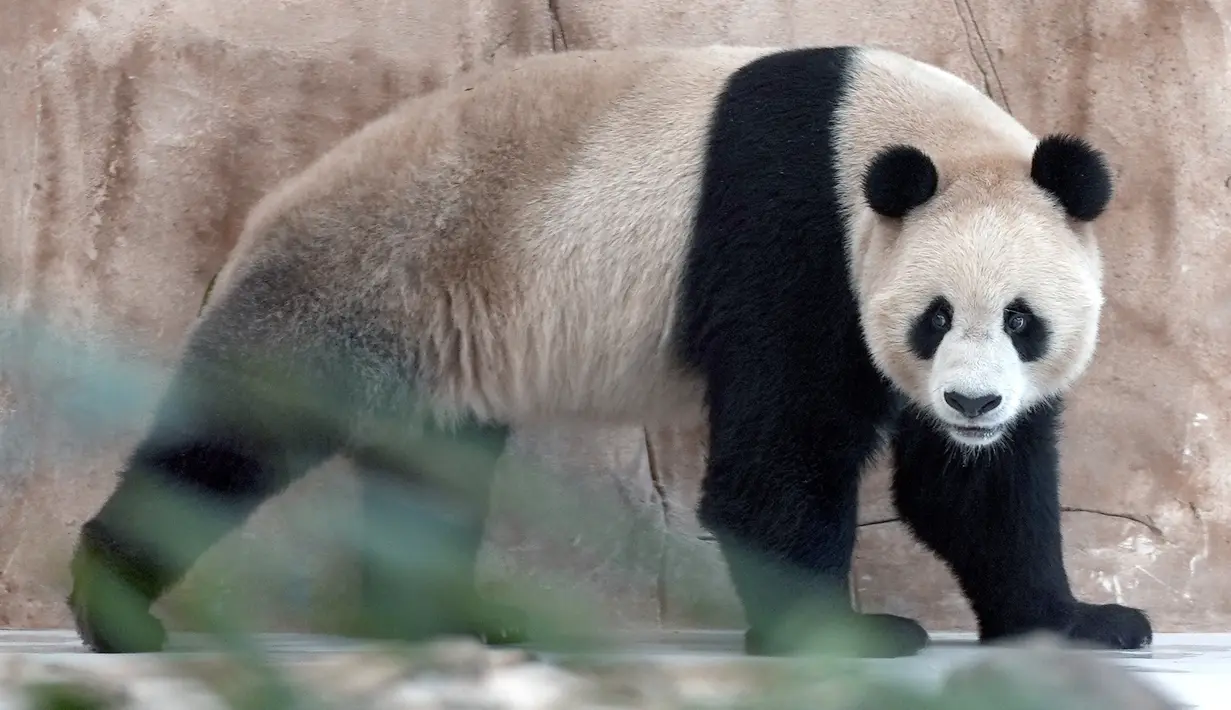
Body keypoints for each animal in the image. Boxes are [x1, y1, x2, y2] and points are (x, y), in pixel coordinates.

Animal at [67, 43, 1153, 657]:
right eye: (933, 317)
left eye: (1022, 321)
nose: (971, 404)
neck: (881, 133)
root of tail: (263, 215)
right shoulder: (790, 241)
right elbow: (777, 466)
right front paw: (846, 633)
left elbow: (972, 491)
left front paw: (1079, 617)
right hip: (357, 284)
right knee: (232, 439)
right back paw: (113, 613)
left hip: (432, 340)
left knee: (432, 480)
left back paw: (445, 620)